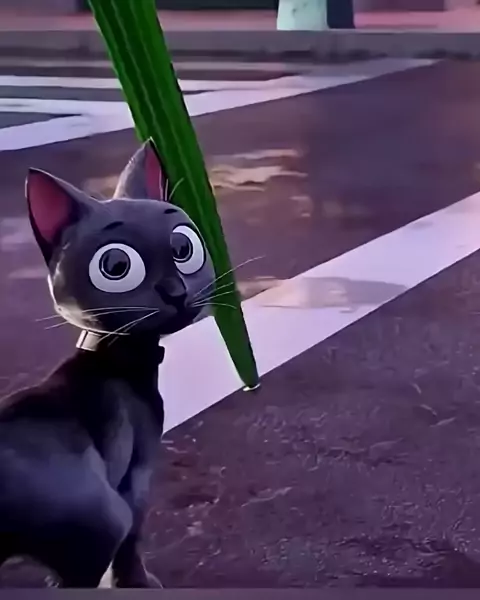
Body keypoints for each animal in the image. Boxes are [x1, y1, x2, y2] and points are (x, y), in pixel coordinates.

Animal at [0, 139, 215, 588]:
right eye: (116, 267)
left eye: (183, 249)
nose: (175, 292)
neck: (113, 357)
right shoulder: (134, 477)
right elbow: (133, 539)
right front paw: (139, 585)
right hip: (97, 520)